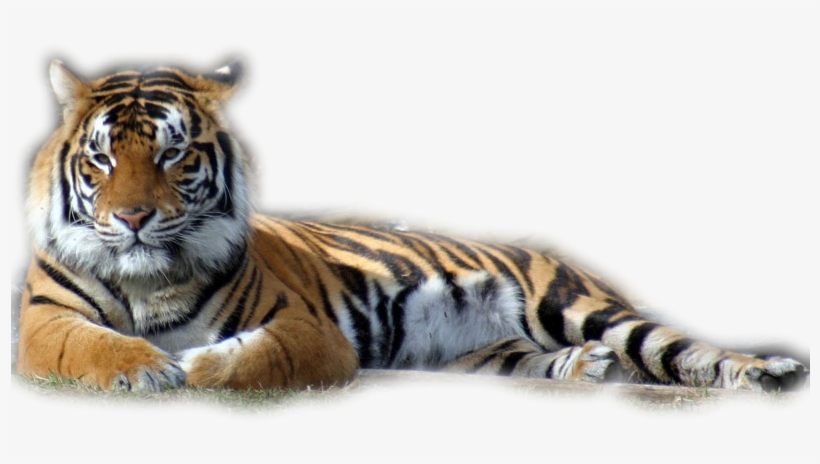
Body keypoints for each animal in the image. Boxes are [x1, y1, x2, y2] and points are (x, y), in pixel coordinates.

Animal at [17, 59, 808, 393]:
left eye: (173, 153)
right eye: (102, 157)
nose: (134, 218)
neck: (148, 278)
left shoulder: (303, 327)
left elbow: (249, 358)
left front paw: (195, 365)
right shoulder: (43, 322)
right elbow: (90, 345)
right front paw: (148, 367)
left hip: (575, 304)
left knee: (680, 349)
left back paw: (767, 371)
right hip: (487, 352)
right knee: (541, 360)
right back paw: (583, 369)